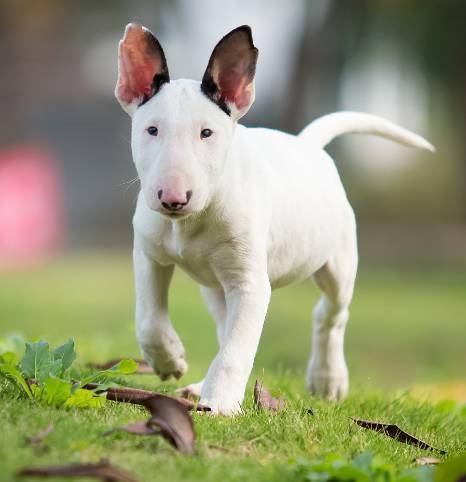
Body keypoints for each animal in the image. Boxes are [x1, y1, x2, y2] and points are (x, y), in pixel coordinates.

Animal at [114, 23, 436, 414]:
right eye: (152, 130)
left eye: (207, 132)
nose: (173, 198)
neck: (190, 222)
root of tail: (307, 144)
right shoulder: (149, 255)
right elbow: (149, 319)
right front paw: (169, 359)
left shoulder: (251, 284)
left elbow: (236, 350)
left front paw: (220, 404)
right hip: (215, 286)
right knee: (224, 326)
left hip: (337, 263)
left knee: (330, 315)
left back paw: (327, 379)